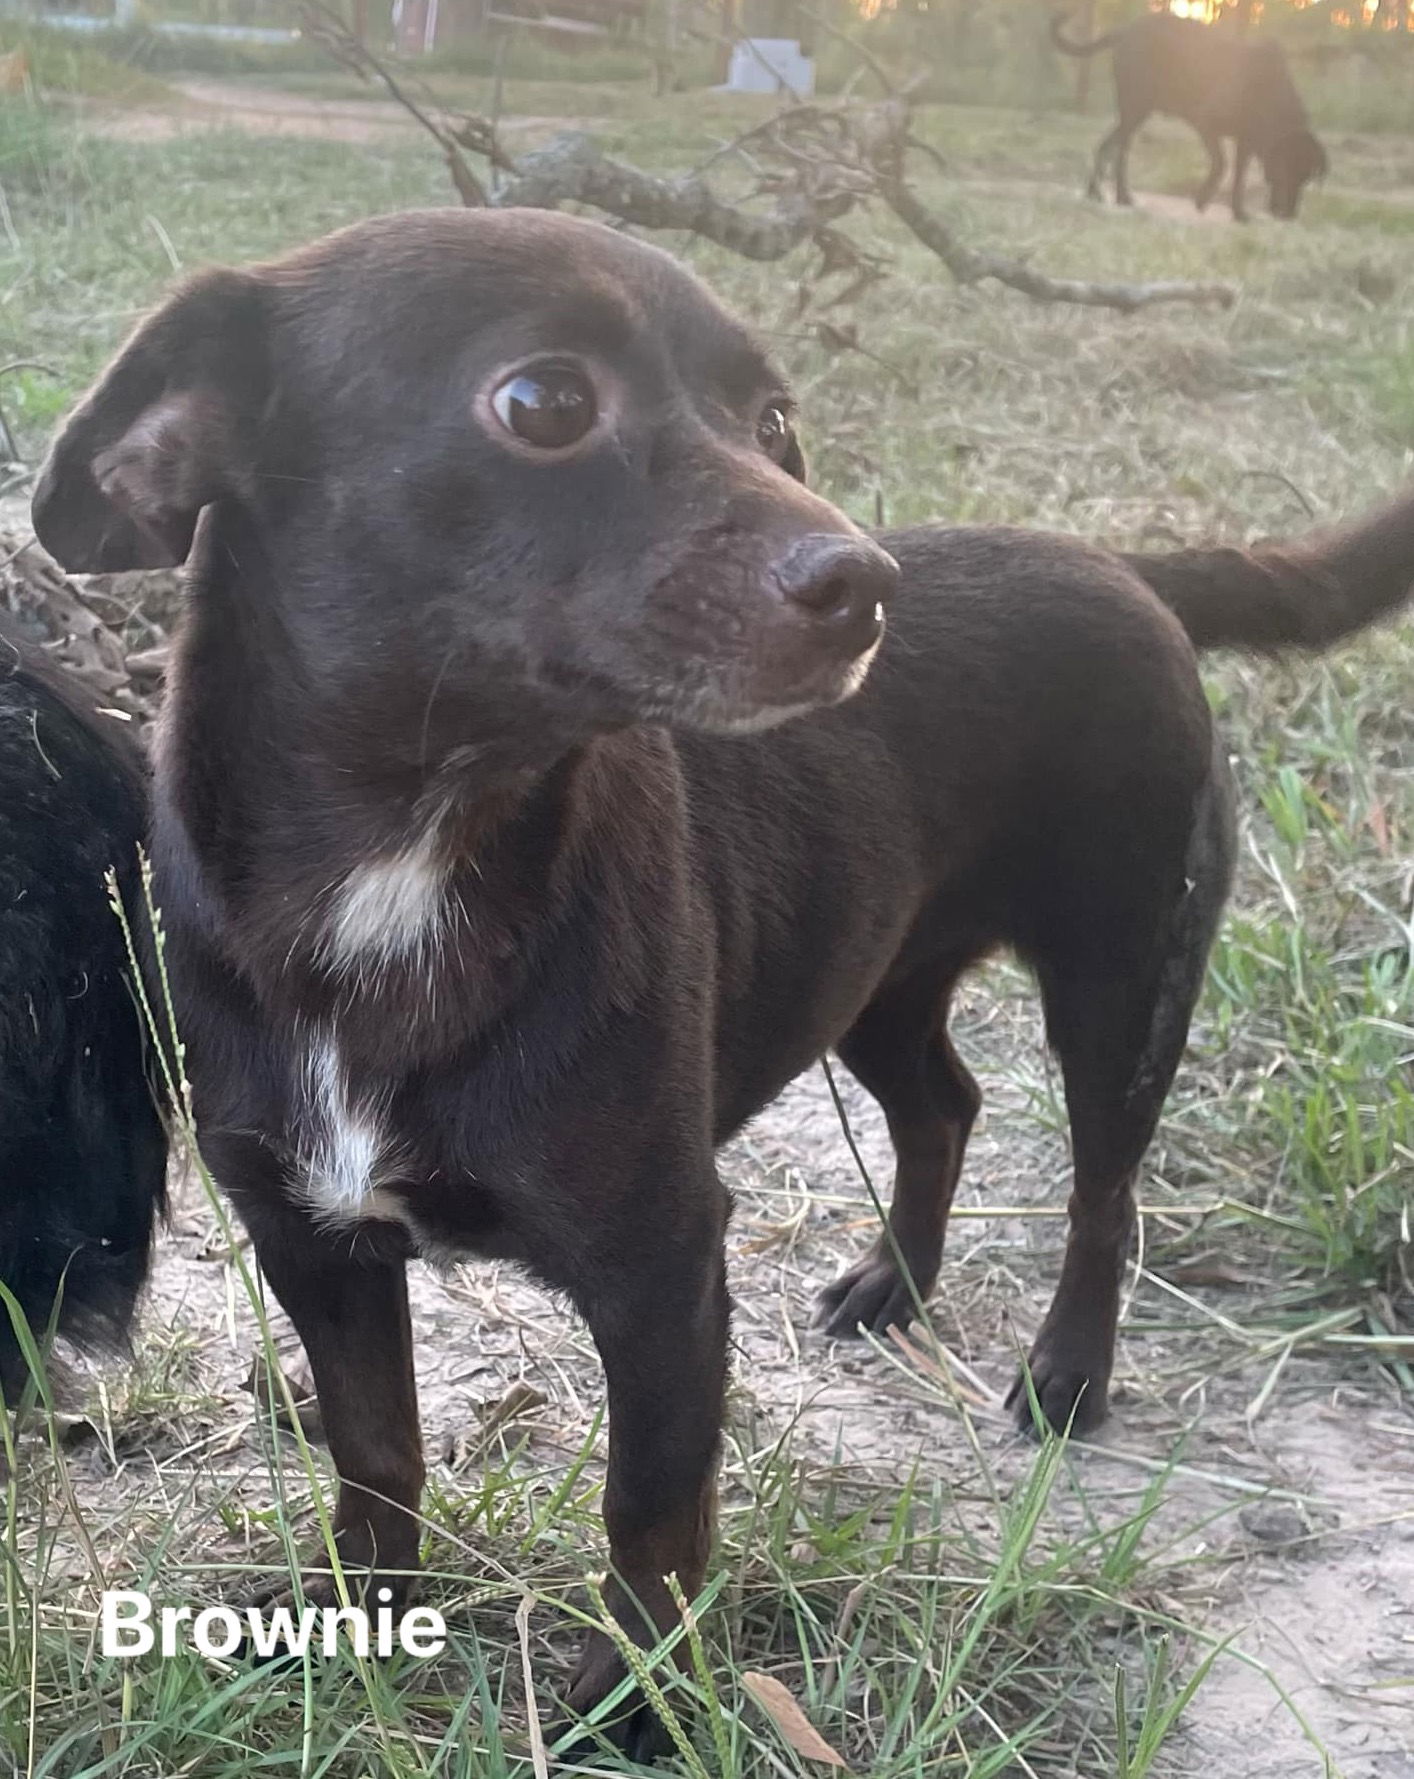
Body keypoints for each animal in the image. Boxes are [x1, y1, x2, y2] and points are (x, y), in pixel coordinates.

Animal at [33, 208, 1414, 1750]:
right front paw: (359, 1608)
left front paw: (637, 1694)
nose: (863, 585)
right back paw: (893, 1285)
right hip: (872, 973)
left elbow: (650, 1503)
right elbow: (375, 1443)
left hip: (1121, 983)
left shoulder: (663, 1265)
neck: (409, 861)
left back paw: (1065, 1372)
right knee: (944, 1104)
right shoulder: (309, 1233)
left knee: (1101, 1194)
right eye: (543, 401)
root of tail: (1130, 568)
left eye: (773, 421)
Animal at [1052, 8, 1330, 220]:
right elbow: (1221, 164)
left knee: (1106, 145)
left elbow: (1238, 177)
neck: (1270, 97)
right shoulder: (1205, 122)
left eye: (1305, 178)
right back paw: (1121, 196)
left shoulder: (1246, 143)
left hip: (1136, 111)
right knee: (1120, 151)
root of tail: (1127, 30)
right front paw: (1202, 199)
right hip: (1135, 108)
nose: (1289, 214)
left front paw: (1238, 213)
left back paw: (1095, 193)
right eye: (1286, 172)